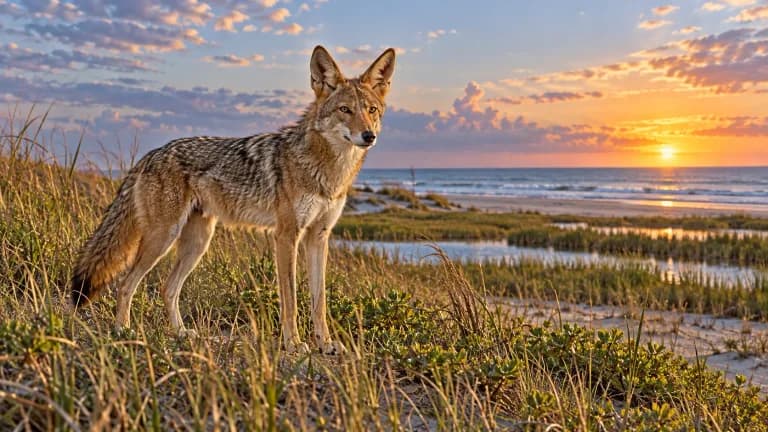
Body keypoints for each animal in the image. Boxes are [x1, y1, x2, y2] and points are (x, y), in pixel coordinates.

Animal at [71, 46, 396, 354]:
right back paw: (122, 331)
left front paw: (325, 343)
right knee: (125, 284)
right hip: (162, 239)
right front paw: (293, 343)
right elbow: (290, 300)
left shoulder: (319, 236)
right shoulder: (287, 236)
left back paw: (180, 333)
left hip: (197, 243)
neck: (327, 170)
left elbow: (320, 302)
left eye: (371, 110)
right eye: (345, 110)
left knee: (167, 288)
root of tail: (151, 154)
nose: (369, 136)